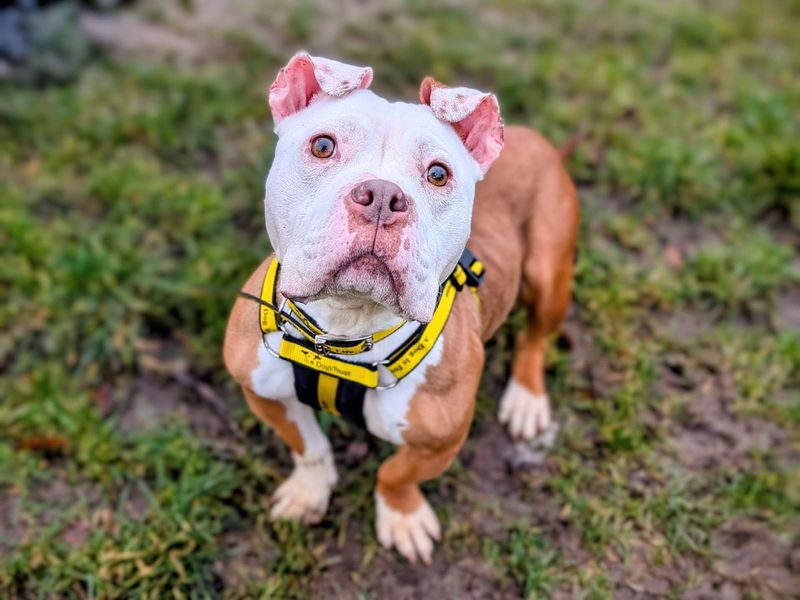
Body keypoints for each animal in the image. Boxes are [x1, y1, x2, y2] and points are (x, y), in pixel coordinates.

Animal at [222, 51, 580, 564]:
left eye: (438, 174)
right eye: (323, 146)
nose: (382, 198)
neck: (346, 331)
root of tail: (540, 142)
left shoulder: (441, 439)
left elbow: (395, 473)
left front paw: (402, 517)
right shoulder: (261, 391)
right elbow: (307, 445)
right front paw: (309, 491)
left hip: (549, 272)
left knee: (536, 335)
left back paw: (526, 399)